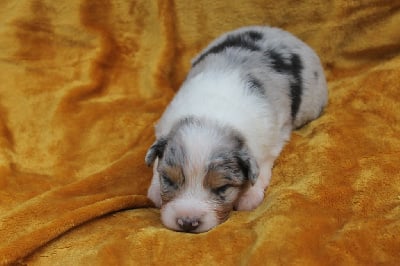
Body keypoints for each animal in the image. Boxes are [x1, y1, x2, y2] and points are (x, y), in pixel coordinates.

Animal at [145, 25, 326, 233]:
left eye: (222, 188)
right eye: (169, 180)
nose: (188, 222)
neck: (211, 113)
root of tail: (286, 35)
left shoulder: (269, 139)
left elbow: (261, 167)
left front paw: (248, 197)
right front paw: (155, 191)